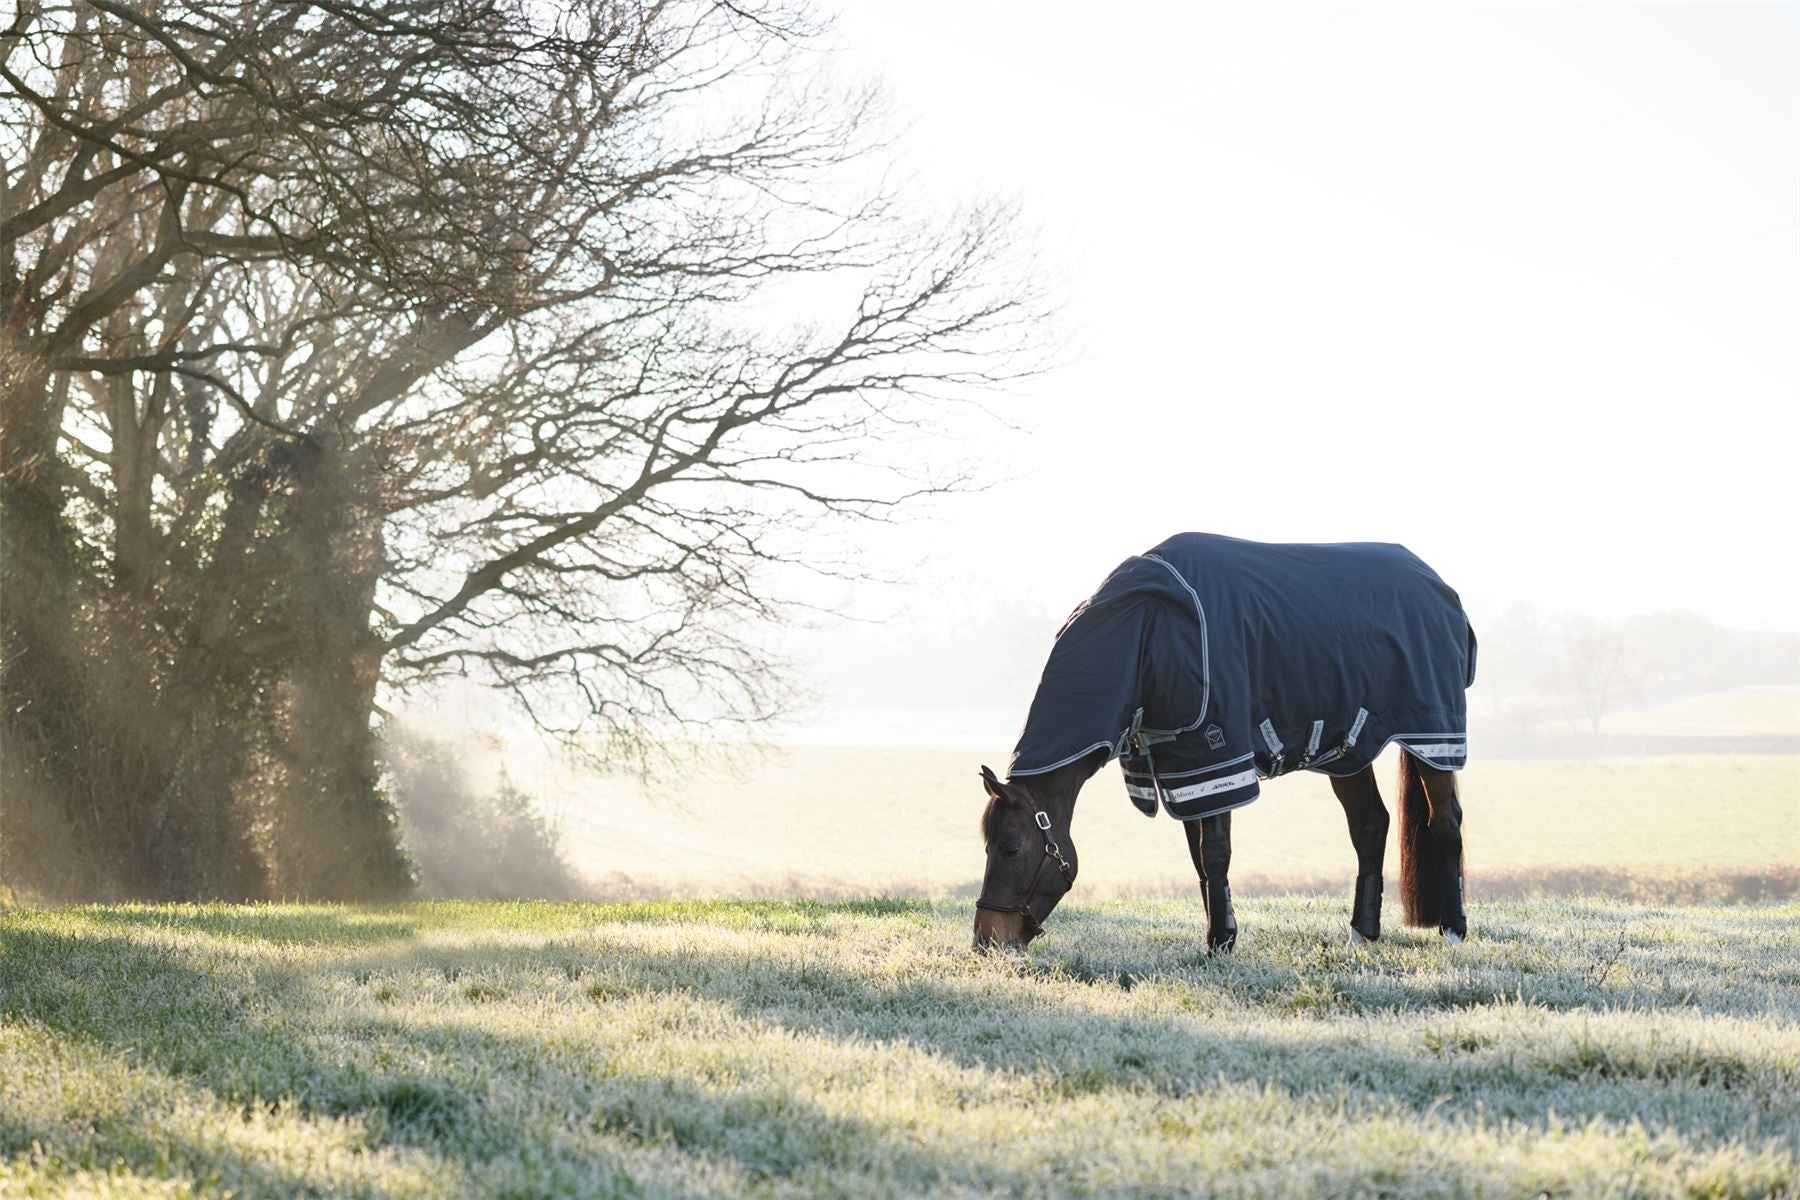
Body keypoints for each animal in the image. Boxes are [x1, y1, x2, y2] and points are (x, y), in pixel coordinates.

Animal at [973, 532, 1478, 953]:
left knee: (1446, 822)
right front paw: (1221, 932)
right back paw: (1361, 933)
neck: (1147, 630)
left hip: (1433, 737)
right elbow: (1198, 858)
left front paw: (1221, 941)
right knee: (1370, 825)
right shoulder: (1179, 767)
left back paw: (1453, 929)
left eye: (1011, 847)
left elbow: (1215, 852)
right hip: (1350, 748)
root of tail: (1439, 585)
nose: (987, 939)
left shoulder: (1217, 753)